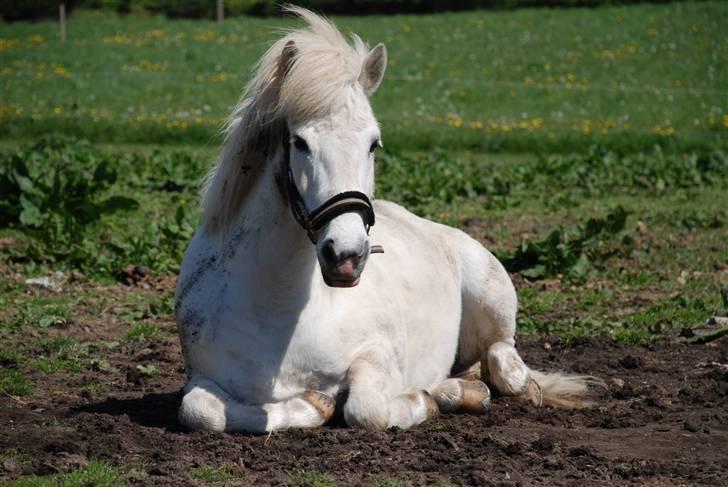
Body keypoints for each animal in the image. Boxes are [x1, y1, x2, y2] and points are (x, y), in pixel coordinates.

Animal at [176, 6, 596, 434]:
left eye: (373, 144)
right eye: (300, 142)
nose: (345, 256)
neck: (277, 312)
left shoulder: (377, 353)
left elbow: (366, 409)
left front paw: (419, 403)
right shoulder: (201, 378)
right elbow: (199, 410)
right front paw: (316, 404)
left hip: (491, 292)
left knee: (503, 361)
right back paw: (457, 391)